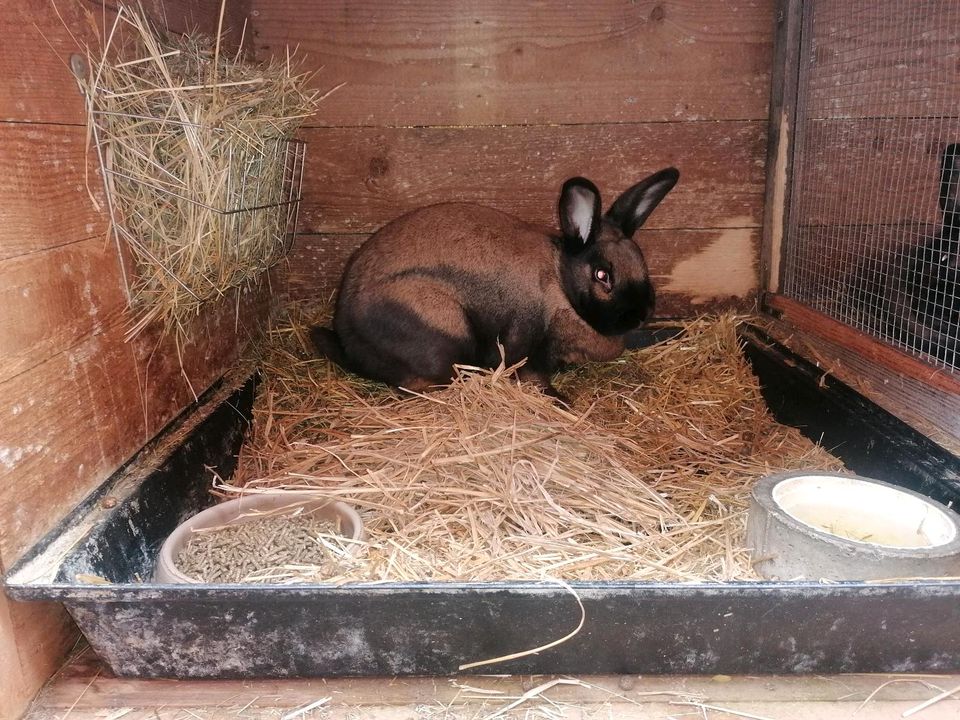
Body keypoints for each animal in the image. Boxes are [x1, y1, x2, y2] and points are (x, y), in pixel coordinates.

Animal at [312, 167, 680, 396]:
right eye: (603, 275)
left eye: (641, 261)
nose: (640, 315)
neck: (561, 286)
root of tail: (347, 336)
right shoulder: (524, 345)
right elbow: (532, 376)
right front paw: (560, 401)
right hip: (444, 329)